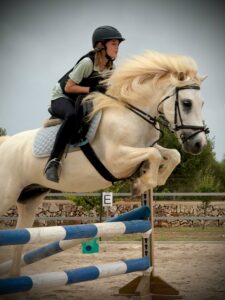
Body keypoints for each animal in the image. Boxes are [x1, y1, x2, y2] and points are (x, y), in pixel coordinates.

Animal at [0, 50, 208, 276]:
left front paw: (146, 179)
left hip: (29, 199)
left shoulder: (143, 148)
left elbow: (170, 155)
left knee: (19, 240)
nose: (199, 144)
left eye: (202, 104)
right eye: (187, 103)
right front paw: (142, 183)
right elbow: (154, 155)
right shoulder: (116, 160)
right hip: (6, 196)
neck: (132, 114)